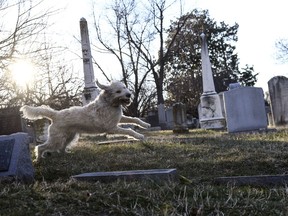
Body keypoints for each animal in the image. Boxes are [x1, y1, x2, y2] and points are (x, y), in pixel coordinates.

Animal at [19, 80, 151, 161]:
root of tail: (55, 114)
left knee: (61, 148)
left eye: (124, 87)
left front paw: (145, 124)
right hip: (57, 139)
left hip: (69, 137)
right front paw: (139, 136)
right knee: (41, 147)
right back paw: (39, 159)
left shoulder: (119, 119)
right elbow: (129, 130)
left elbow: (134, 119)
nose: (129, 94)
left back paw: (66, 154)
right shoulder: (112, 127)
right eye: (118, 91)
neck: (108, 103)